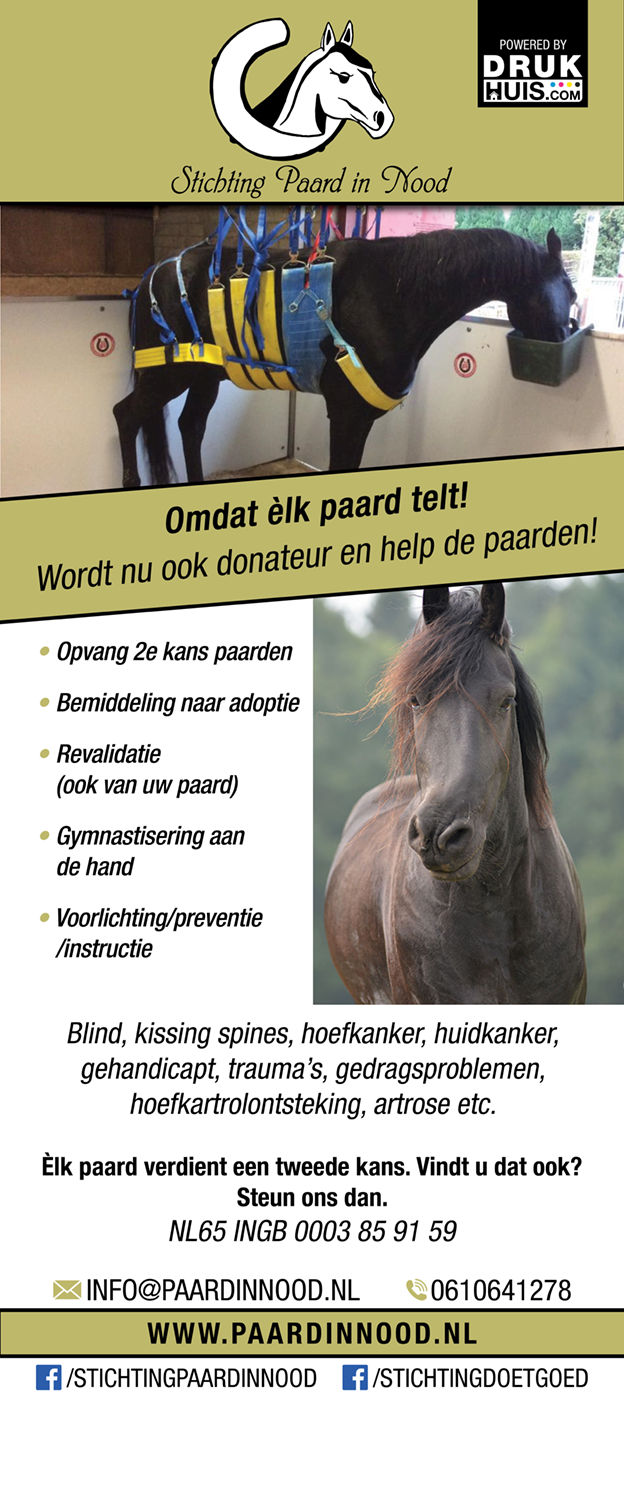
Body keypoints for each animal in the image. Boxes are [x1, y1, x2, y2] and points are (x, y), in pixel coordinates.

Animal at [113, 227, 576, 488]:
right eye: (569, 292)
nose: (562, 338)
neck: (392, 294)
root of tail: (155, 272)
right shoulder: (346, 412)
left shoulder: (362, 416)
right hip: (168, 377)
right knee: (126, 415)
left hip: (205, 376)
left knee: (190, 427)